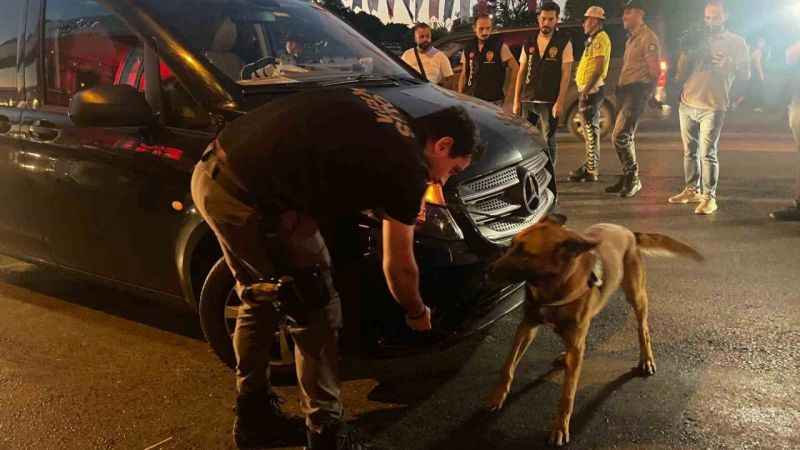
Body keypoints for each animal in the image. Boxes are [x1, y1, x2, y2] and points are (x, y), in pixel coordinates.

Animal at [484, 214, 704, 446]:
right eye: (511, 245)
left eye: (524, 253)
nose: (487, 270)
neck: (553, 286)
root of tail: (628, 232)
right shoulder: (527, 327)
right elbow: (508, 366)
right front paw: (497, 396)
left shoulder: (571, 341)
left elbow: (568, 394)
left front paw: (560, 426)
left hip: (637, 298)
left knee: (642, 330)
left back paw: (646, 359)